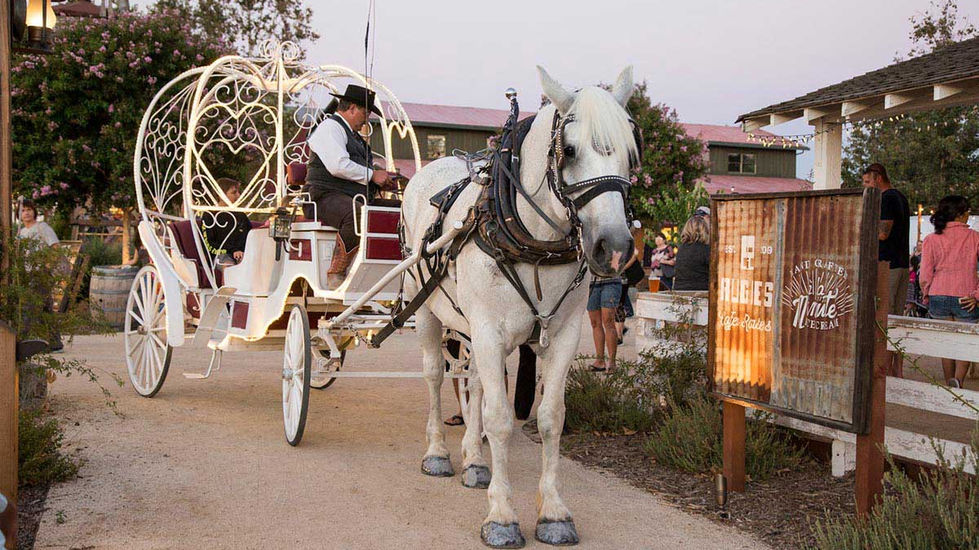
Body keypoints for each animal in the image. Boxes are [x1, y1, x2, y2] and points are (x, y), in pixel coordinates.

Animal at [400, 66, 637, 548]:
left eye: (629, 152)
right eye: (569, 150)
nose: (616, 249)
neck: (533, 242)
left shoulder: (562, 334)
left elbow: (550, 417)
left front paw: (553, 512)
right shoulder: (489, 331)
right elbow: (500, 418)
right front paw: (502, 515)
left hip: (468, 326)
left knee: (471, 380)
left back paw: (474, 460)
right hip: (427, 310)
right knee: (435, 376)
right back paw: (438, 453)